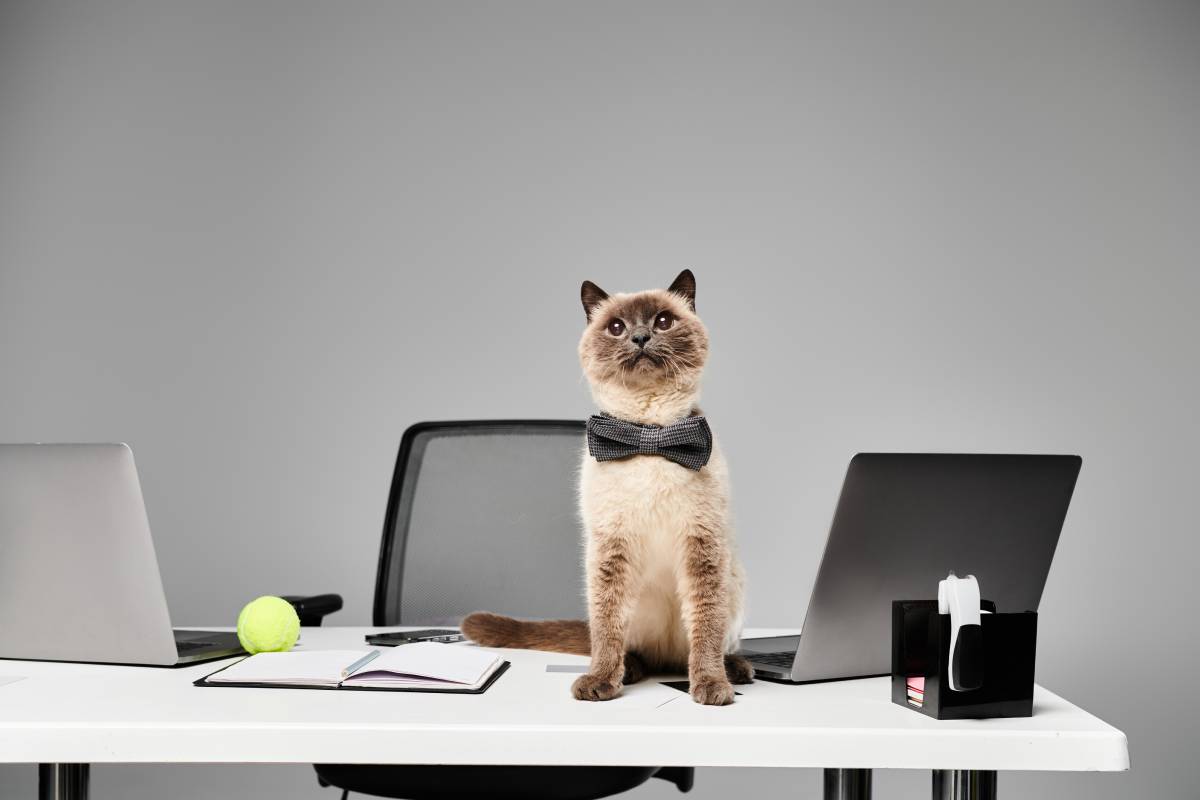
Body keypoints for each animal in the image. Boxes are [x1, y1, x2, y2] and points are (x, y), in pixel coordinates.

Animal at [460, 271, 748, 705]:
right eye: (616, 328)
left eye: (663, 321)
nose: (641, 337)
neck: (649, 434)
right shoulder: (612, 547)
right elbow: (608, 628)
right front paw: (599, 683)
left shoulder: (702, 545)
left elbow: (706, 627)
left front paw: (712, 687)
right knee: (622, 644)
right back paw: (631, 670)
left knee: (698, 649)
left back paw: (735, 670)